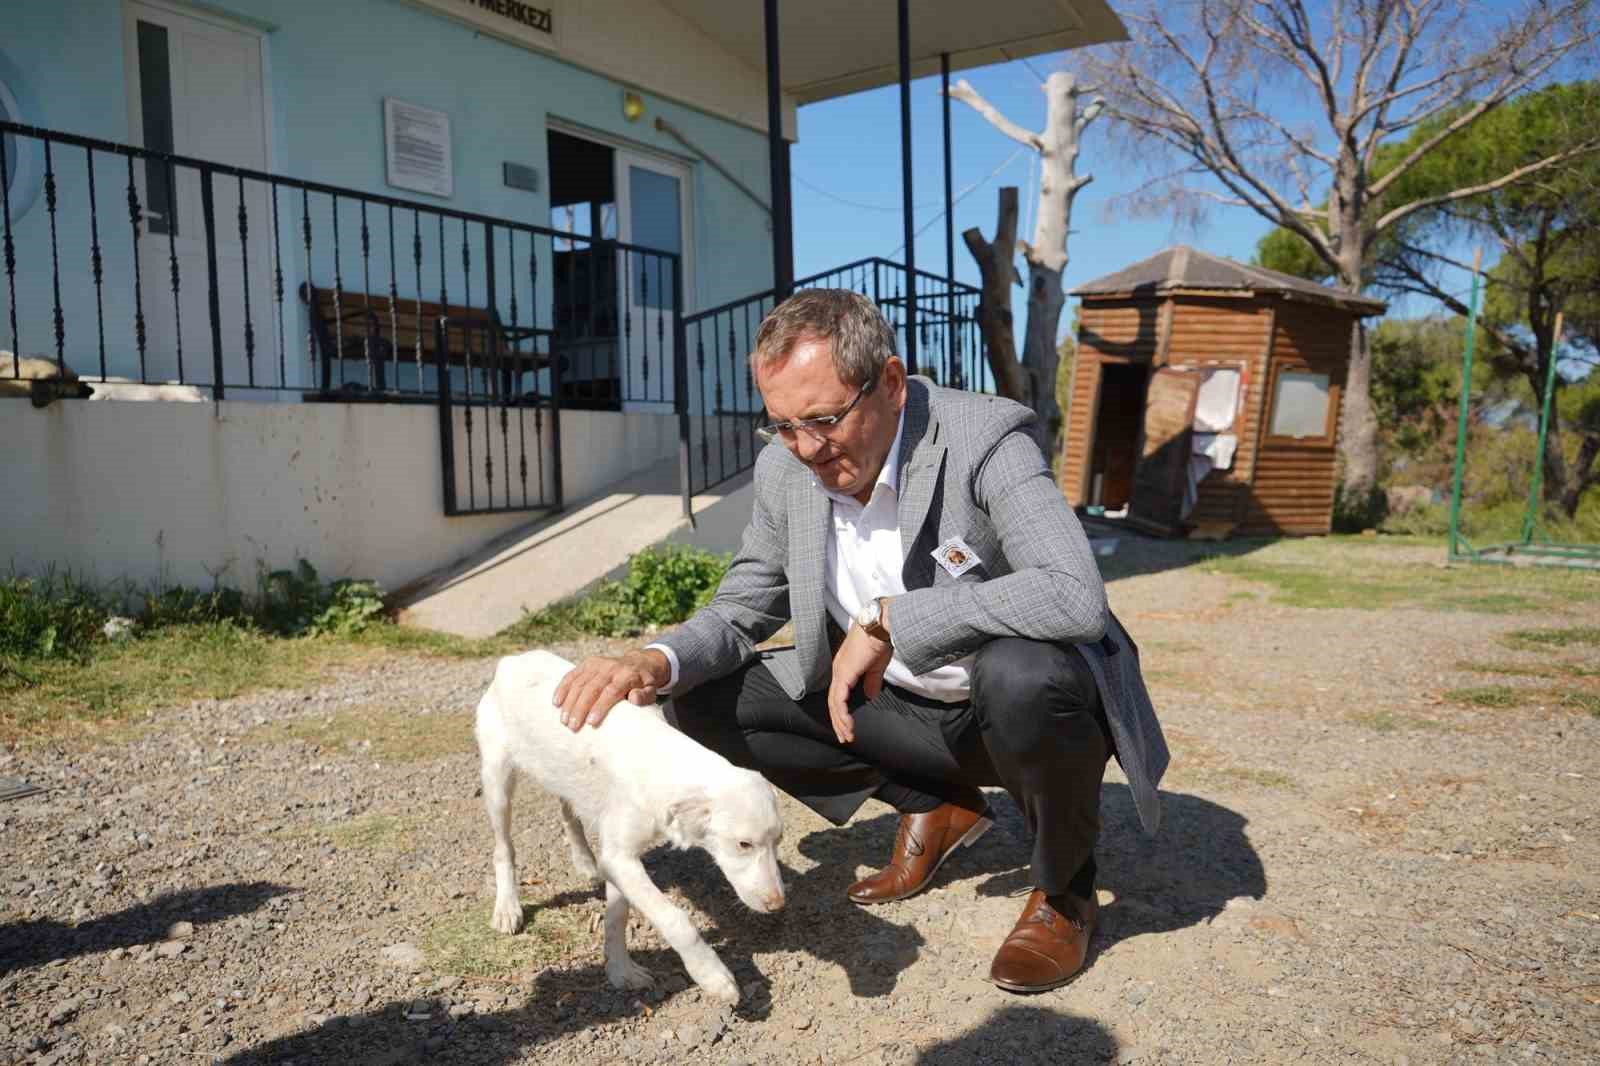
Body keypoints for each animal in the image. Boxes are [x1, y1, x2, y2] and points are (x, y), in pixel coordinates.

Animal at [470, 643, 784, 998]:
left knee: (568, 812)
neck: (664, 760)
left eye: (778, 841)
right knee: (503, 849)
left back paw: (583, 861)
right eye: (744, 844)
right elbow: (675, 919)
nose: (778, 905)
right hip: (498, 782)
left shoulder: (618, 859)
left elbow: (616, 916)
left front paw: (620, 970)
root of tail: (515, 659)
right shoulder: (621, 858)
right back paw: (507, 907)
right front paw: (713, 976)